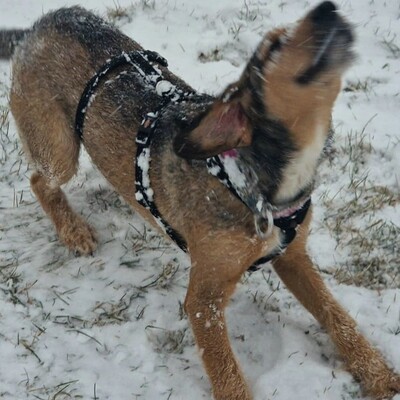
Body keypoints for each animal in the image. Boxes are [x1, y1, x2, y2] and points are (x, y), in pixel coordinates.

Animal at [0, 1, 400, 398]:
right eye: (273, 48)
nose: (327, 8)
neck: (259, 182)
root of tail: (41, 23)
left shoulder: (294, 257)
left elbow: (338, 316)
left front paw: (378, 374)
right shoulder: (203, 298)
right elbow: (225, 372)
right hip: (58, 148)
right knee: (39, 180)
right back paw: (73, 231)